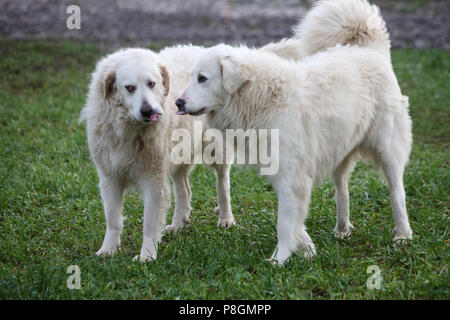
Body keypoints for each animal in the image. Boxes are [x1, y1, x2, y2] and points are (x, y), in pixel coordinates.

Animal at [177, 0, 414, 264]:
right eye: (192, 77)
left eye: (202, 78)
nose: (178, 103)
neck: (262, 97)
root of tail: (371, 50)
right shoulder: (285, 173)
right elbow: (295, 221)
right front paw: (307, 249)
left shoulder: (292, 175)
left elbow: (285, 223)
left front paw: (279, 259)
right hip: (338, 151)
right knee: (342, 190)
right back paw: (342, 230)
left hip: (388, 148)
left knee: (397, 193)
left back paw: (403, 236)